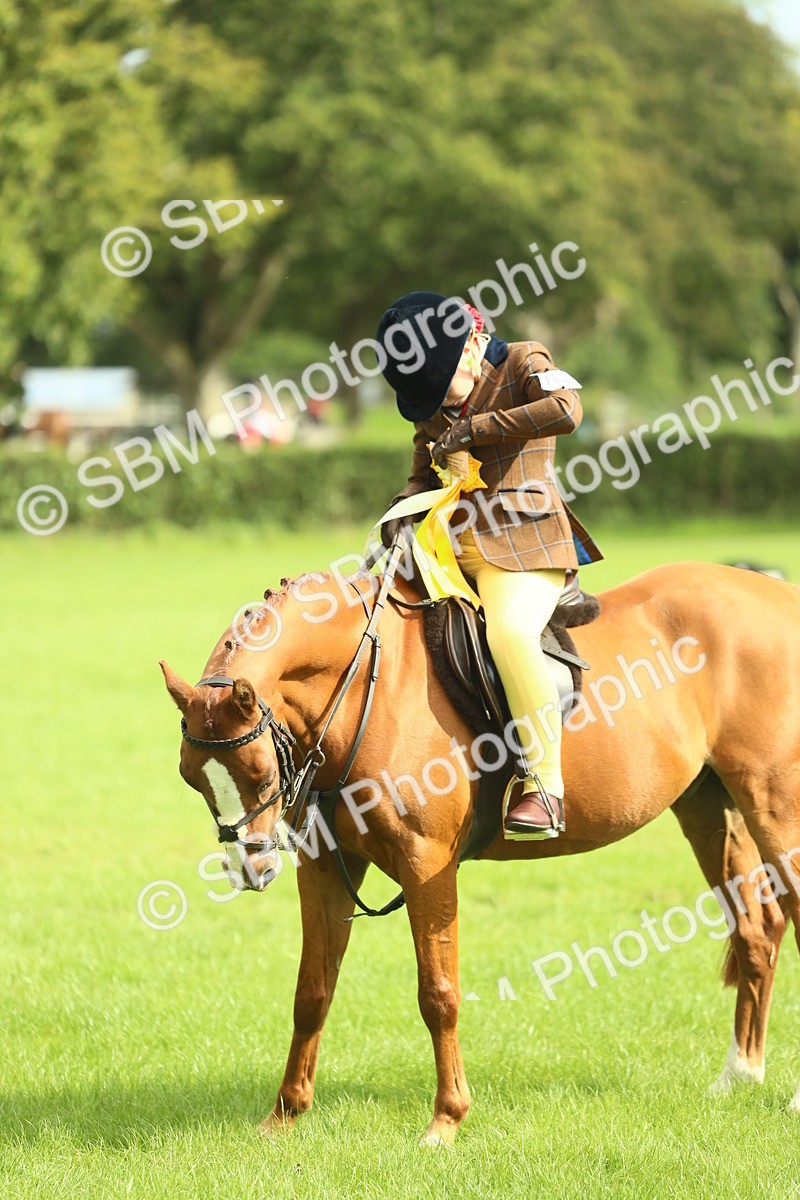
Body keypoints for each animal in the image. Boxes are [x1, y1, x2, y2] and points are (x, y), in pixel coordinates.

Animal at [160, 556, 800, 1146]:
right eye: (191, 778)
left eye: (261, 771)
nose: (251, 866)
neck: (369, 686)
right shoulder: (326, 868)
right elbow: (312, 991)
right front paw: (284, 1115)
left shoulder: (427, 866)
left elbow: (438, 994)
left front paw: (446, 1120)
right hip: (709, 809)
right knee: (757, 929)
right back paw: (739, 1074)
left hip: (773, 806)